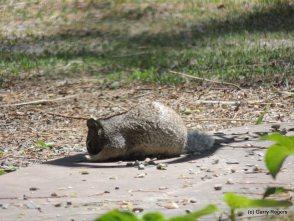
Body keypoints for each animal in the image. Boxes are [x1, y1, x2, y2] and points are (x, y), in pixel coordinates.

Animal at [86, 101, 215, 161]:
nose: (89, 151)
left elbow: (110, 151)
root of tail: (185, 143)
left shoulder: (116, 139)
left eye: (89, 143)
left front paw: (92, 157)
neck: (106, 129)